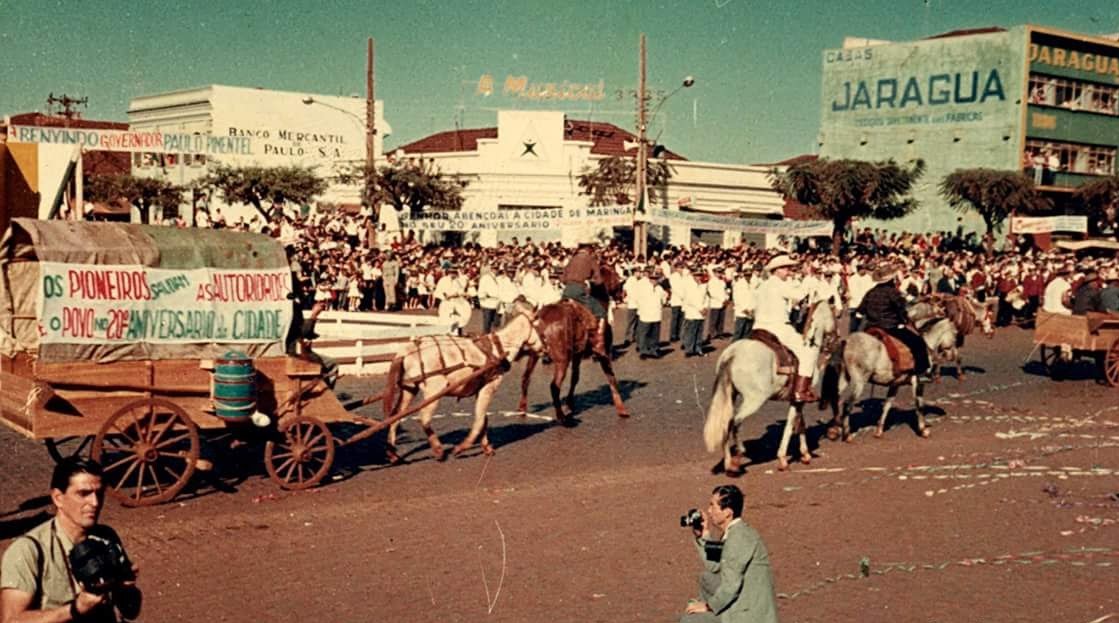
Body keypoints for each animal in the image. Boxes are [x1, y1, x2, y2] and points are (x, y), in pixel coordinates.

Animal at [382, 310, 543, 460]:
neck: (498, 348)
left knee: (396, 416)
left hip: (409, 389)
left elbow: (483, 419)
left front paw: (486, 448)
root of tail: (407, 351)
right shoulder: (488, 388)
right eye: (538, 326)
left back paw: (392, 452)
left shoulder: (480, 390)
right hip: (435, 390)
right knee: (425, 417)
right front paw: (462, 447)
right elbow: (479, 420)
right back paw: (438, 449)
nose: (543, 349)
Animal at [516, 265, 631, 425]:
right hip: (562, 360)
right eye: (615, 274)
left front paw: (570, 405)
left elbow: (575, 378)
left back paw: (522, 409)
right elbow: (611, 378)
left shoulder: (578, 355)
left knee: (526, 378)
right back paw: (561, 417)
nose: (623, 293)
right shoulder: (602, 352)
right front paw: (622, 409)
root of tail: (539, 319)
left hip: (534, 356)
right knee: (554, 386)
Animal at [702, 299, 837, 472]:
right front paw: (785, 458)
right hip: (754, 400)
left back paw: (728, 463)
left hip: (730, 394)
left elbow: (799, 423)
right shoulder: (799, 398)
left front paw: (804, 455)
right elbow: (792, 424)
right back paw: (740, 453)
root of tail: (732, 355)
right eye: (834, 314)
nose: (835, 339)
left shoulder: (796, 399)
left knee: (727, 422)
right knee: (735, 421)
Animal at [823, 315, 953, 442]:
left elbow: (887, 405)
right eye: (955, 335)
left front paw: (879, 431)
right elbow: (919, 405)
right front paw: (923, 431)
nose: (949, 356)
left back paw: (833, 430)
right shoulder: (918, 381)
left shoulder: (895, 384)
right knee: (847, 404)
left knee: (835, 399)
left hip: (844, 378)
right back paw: (847, 435)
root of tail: (847, 343)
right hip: (859, 381)